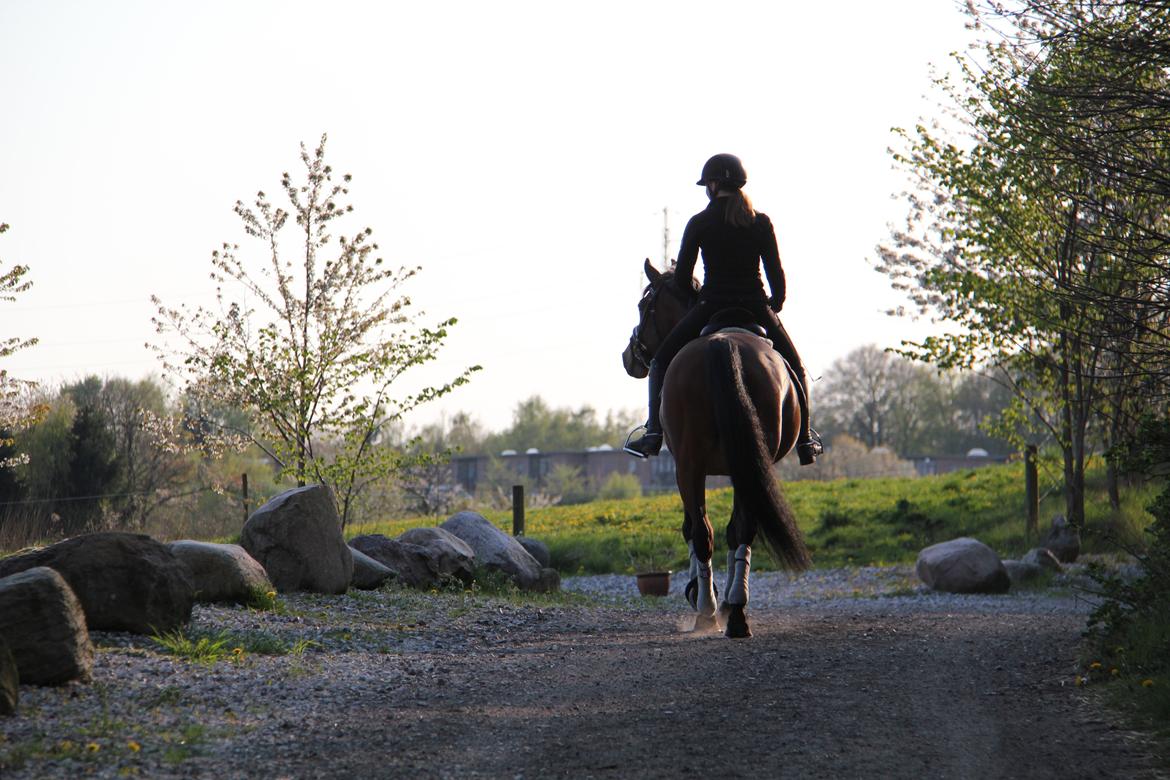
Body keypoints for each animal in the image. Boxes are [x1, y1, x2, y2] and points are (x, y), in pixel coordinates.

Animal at [622, 259, 814, 636]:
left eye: (643, 305)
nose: (628, 357)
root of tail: (725, 345)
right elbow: (731, 530)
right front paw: (722, 599)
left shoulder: (684, 468)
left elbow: (693, 528)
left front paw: (699, 592)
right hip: (748, 463)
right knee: (741, 529)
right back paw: (735, 612)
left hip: (692, 465)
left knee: (703, 531)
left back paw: (709, 611)